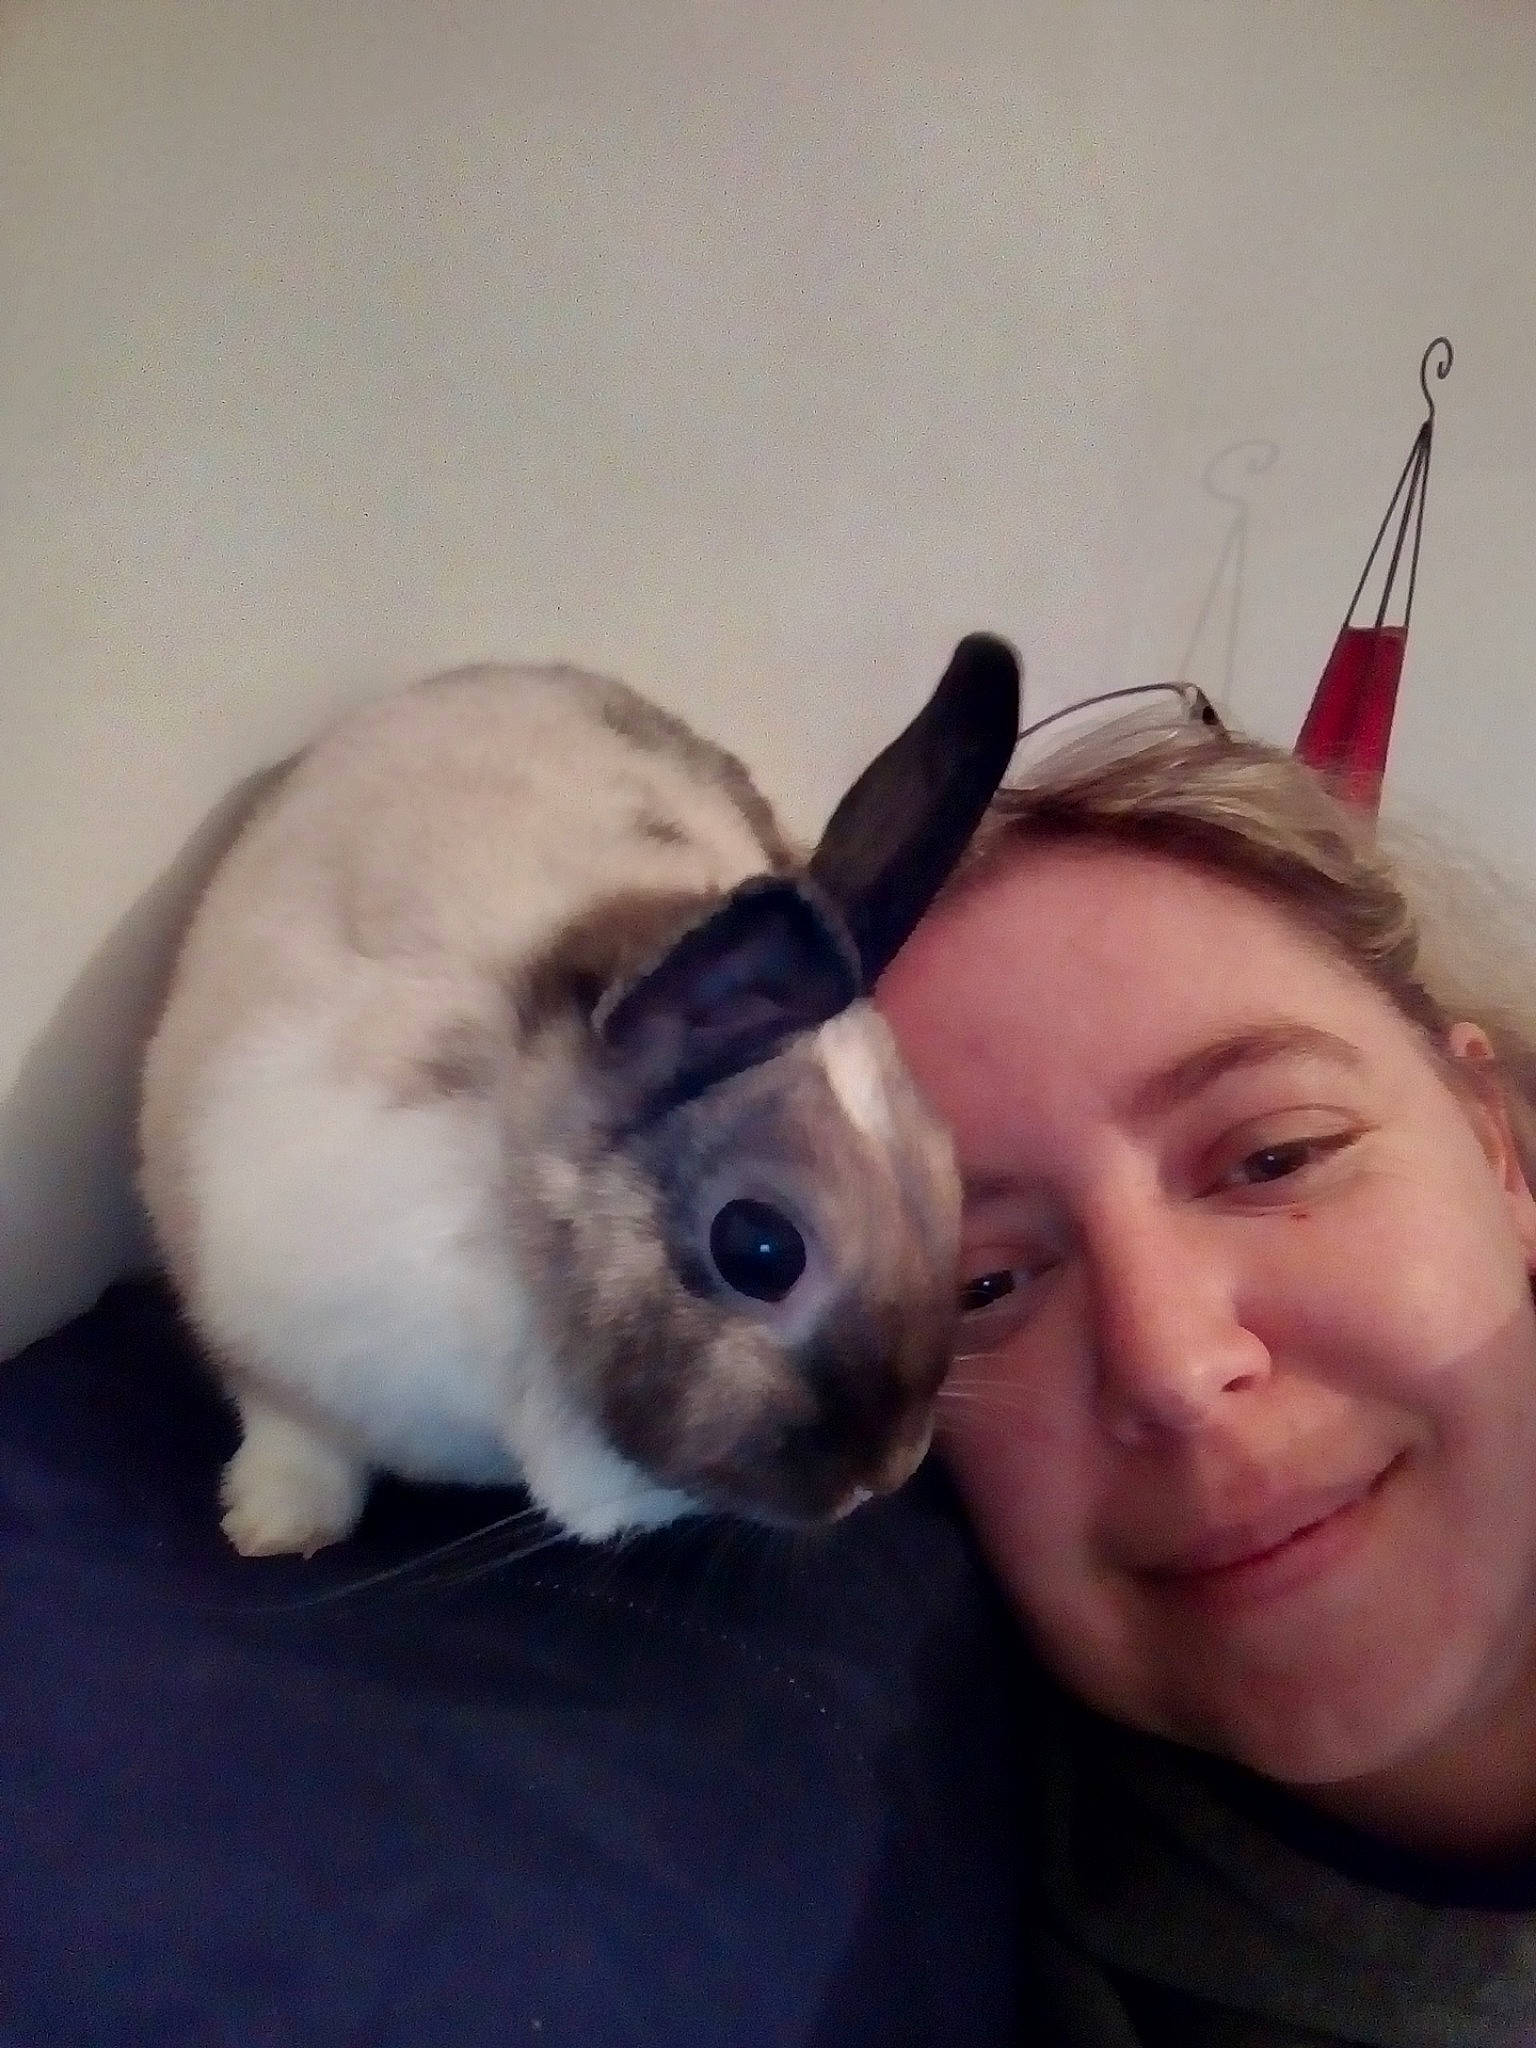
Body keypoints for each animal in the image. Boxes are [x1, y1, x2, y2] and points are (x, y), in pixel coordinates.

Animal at [138, 634, 1020, 1556]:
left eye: (951, 1181)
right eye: (759, 1247)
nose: (888, 1469)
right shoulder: (254, 1320)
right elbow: (294, 1434)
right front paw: (274, 1525)